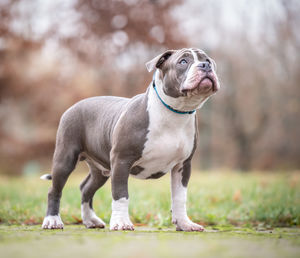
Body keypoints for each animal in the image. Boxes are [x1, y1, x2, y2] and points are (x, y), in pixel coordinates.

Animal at [41, 48, 220, 232]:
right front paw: (121, 222)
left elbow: (179, 197)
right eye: (183, 62)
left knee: (86, 189)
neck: (175, 112)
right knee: (54, 190)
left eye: (208, 60)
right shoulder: (121, 160)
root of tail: (73, 106)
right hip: (65, 158)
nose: (205, 66)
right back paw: (52, 220)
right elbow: (121, 194)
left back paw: (90, 220)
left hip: (101, 170)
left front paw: (184, 223)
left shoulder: (183, 165)